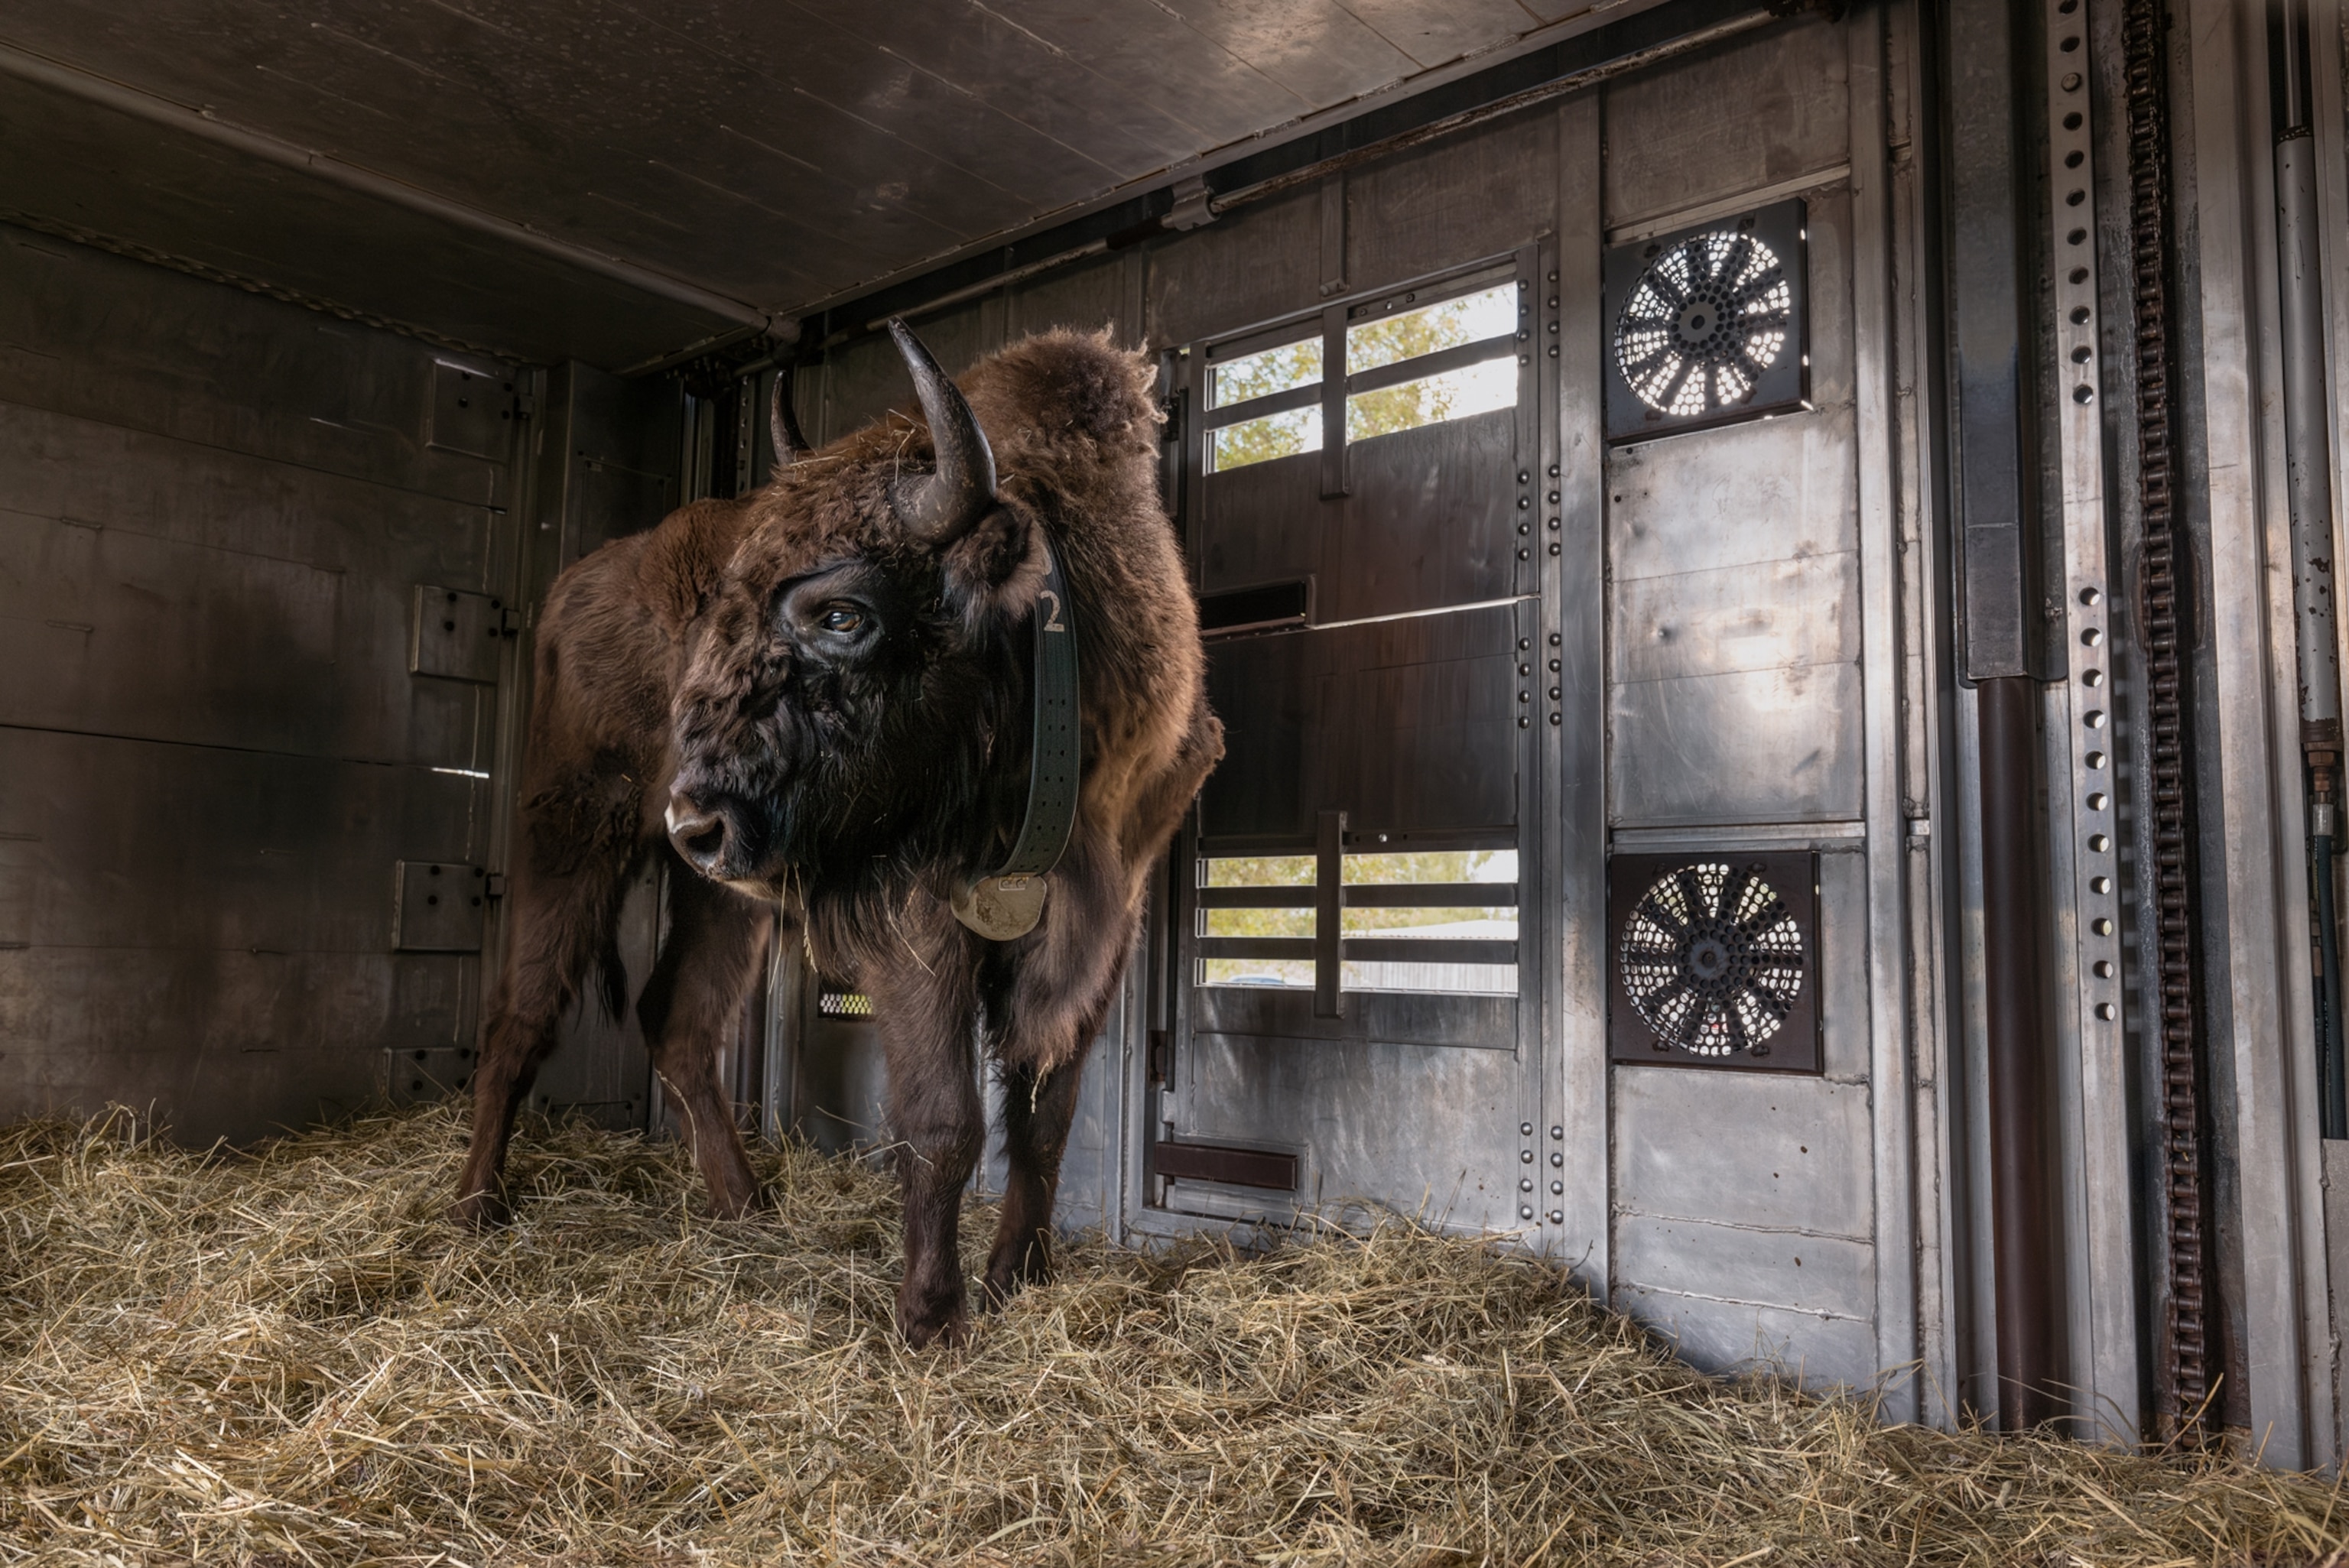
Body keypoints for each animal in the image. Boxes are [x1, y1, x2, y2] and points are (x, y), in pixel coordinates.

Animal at [460, 321, 1230, 1352]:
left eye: (841, 611)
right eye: (723, 614)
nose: (697, 819)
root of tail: (576, 584)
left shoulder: (1110, 914)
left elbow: (1047, 1110)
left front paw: (1018, 1275)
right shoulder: (920, 921)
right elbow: (944, 1120)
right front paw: (933, 1317)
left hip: (722, 893)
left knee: (678, 1015)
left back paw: (746, 1206)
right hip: (574, 827)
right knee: (523, 1010)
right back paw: (474, 1206)